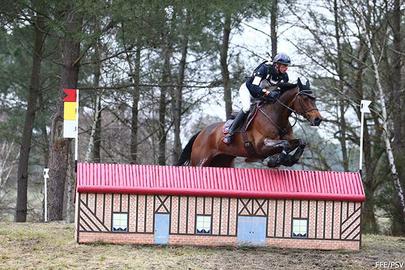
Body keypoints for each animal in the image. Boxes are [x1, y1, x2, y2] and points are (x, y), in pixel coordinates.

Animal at [175, 78, 320, 167]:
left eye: (314, 98)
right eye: (305, 98)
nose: (318, 119)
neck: (276, 115)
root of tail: (201, 133)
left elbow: (300, 142)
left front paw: (289, 159)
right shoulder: (261, 145)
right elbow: (284, 144)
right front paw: (276, 160)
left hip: (222, 161)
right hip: (200, 161)